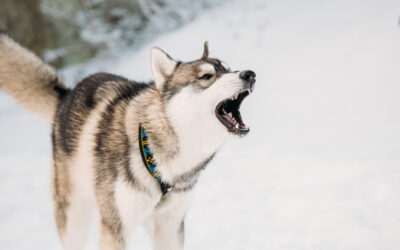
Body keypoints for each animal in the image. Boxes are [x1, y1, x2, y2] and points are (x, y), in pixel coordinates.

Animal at [0, 33, 256, 250]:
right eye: (206, 76)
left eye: (229, 69)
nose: (250, 74)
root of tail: (66, 95)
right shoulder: (116, 228)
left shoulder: (170, 226)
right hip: (74, 217)